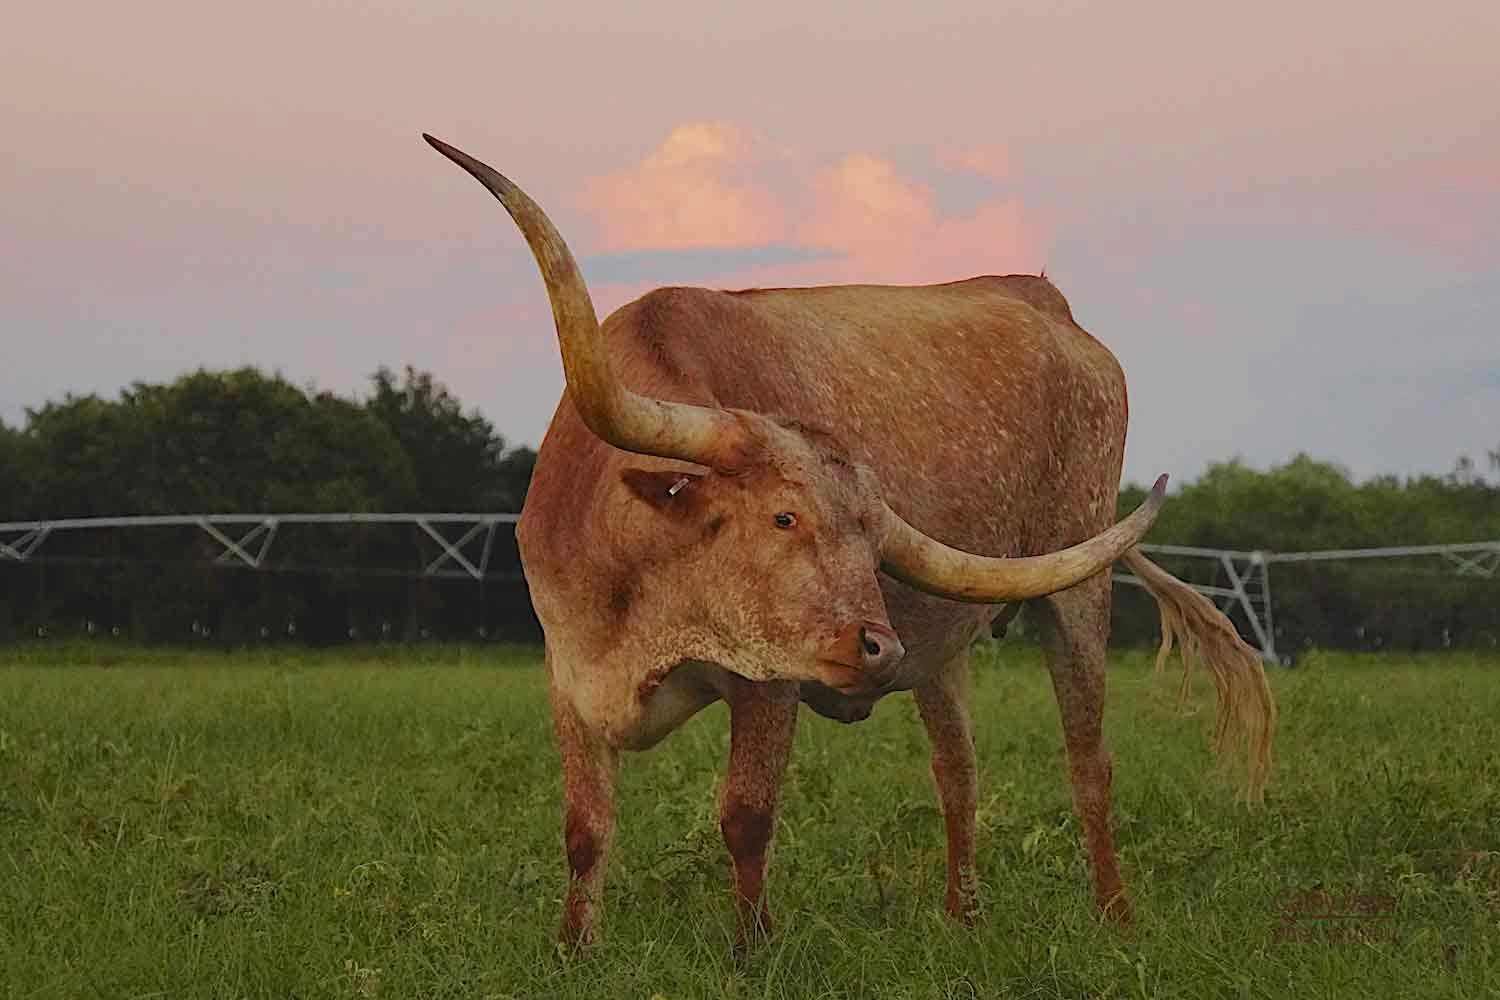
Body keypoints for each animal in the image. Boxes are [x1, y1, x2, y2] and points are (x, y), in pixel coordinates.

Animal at [423, 135, 1276, 949]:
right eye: (783, 518)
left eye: (873, 544)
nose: (877, 648)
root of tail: (1053, 307)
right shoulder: (566, 672)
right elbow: (585, 827)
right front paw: (574, 947)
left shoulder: (768, 681)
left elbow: (745, 814)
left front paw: (752, 950)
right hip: (942, 643)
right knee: (957, 768)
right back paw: (964, 921)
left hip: (1075, 588)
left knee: (1088, 759)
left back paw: (1115, 918)